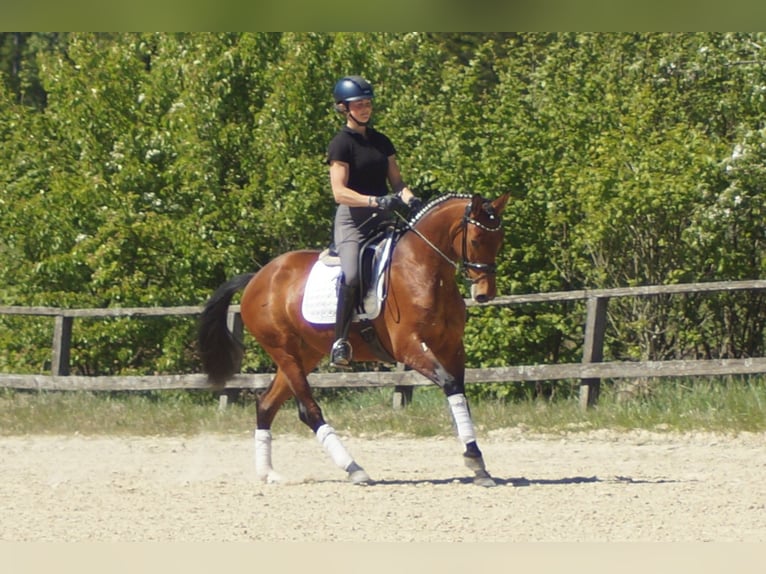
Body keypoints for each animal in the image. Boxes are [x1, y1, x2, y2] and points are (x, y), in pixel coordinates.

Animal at [198, 192, 511, 487]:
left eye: (499, 239)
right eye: (477, 239)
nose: (485, 293)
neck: (423, 269)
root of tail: (258, 277)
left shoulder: (452, 347)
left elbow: (459, 393)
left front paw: (478, 463)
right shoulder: (409, 347)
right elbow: (450, 384)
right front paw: (473, 457)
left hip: (304, 354)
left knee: (266, 404)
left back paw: (268, 474)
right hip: (282, 350)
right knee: (309, 410)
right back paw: (354, 468)